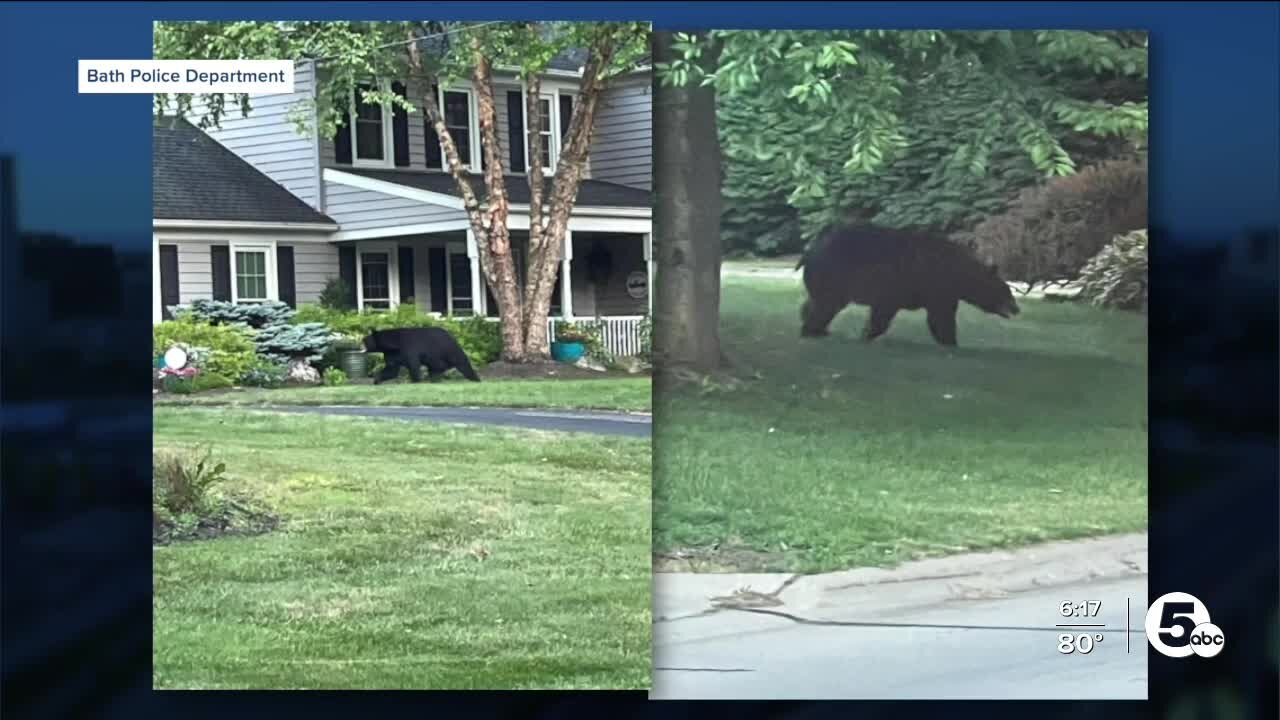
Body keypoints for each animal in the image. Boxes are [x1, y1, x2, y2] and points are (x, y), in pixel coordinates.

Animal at [793, 224, 1024, 348]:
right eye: (1006, 290)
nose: (1017, 308)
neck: (959, 273)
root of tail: (809, 250)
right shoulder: (930, 285)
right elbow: (939, 318)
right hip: (835, 274)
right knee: (827, 304)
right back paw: (812, 331)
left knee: (815, 302)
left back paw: (818, 329)